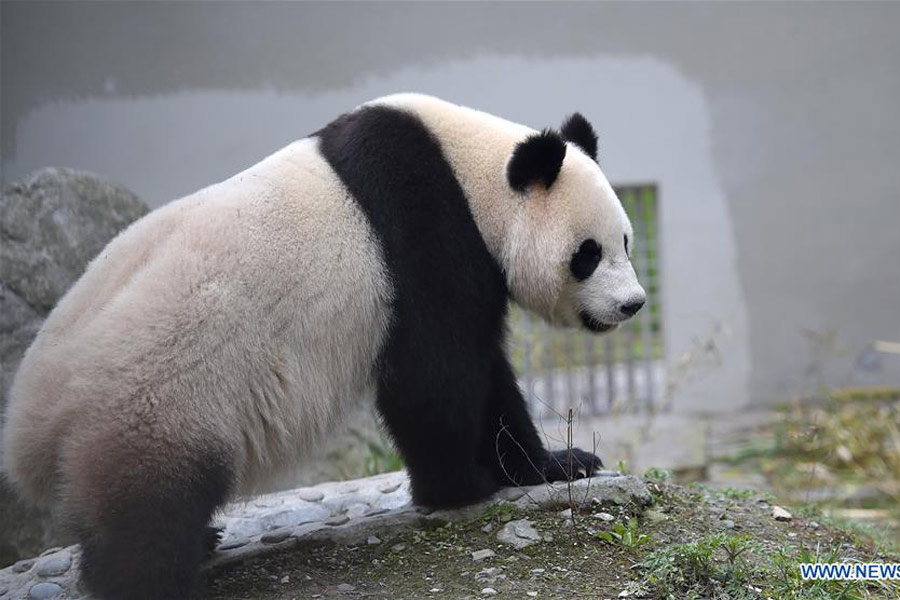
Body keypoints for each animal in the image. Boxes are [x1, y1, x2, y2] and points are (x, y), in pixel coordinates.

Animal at [2, 94, 645, 599]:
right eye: (588, 253)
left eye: (626, 241)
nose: (633, 304)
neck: (471, 171)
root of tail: (34, 421)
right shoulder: (421, 234)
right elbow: (432, 375)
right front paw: (461, 486)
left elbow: (485, 376)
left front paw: (557, 464)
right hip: (154, 400)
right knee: (145, 525)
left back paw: (204, 538)